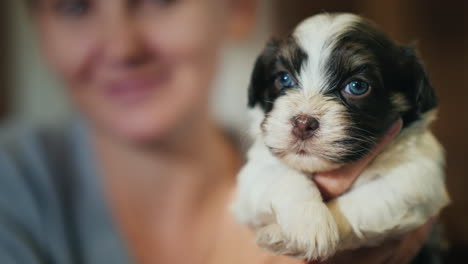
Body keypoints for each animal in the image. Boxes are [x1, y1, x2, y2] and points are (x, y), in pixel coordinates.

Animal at [232, 13, 452, 260]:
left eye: (357, 86)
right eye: (284, 79)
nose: (302, 123)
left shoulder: (414, 182)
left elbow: (358, 205)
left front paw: (289, 235)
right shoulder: (253, 177)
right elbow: (283, 176)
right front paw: (306, 223)